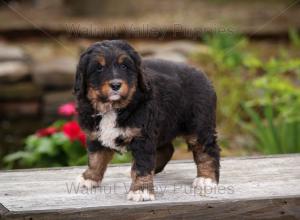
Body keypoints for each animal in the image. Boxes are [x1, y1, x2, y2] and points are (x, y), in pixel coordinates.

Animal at [74, 39, 220, 201]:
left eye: (124, 66)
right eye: (99, 68)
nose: (116, 85)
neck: (113, 107)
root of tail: (203, 74)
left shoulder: (142, 136)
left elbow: (142, 165)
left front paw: (141, 190)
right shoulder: (95, 135)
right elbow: (95, 159)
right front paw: (89, 178)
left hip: (199, 125)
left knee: (207, 150)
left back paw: (206, 178)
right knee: (167, 150)